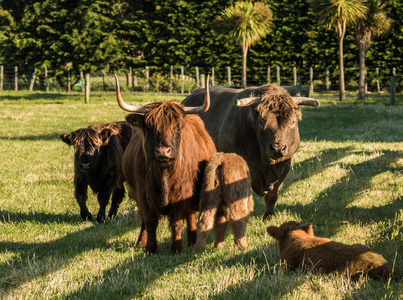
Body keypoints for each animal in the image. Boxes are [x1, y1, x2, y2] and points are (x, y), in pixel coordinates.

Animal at [116, 74, 218, 253]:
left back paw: (192, 240)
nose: (163, 151)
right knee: (143, 219)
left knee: (190, 215)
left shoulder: (182, 192)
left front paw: (176, 249)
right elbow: (149, 221)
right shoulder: (142, 193)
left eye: (177, 127)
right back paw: (140, 242)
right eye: (149, 127)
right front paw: (150, 248)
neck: (163, 172)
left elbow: (177, 222)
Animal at [182, 83, 318, 219]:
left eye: (293, 122)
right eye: (262, 122)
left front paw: (268, 216)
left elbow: (272, 195)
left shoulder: (285, 165)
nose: (277, 148)